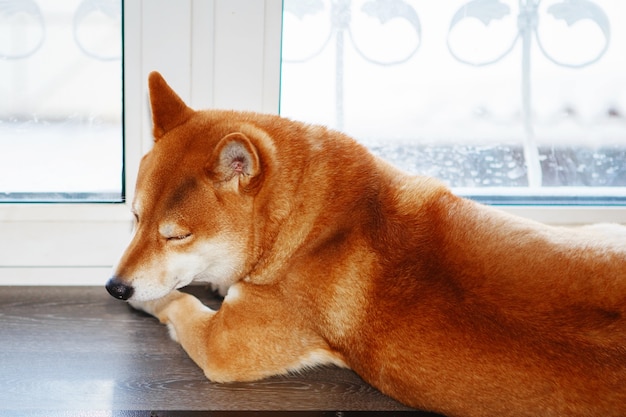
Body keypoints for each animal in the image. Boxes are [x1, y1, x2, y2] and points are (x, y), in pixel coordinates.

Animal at [107, 71, 624, 416]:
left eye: (176, 235)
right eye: (134, 217)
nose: (115, 286)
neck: (310, 224)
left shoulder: (224, 346)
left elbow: (174, 302)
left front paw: (150, 300)